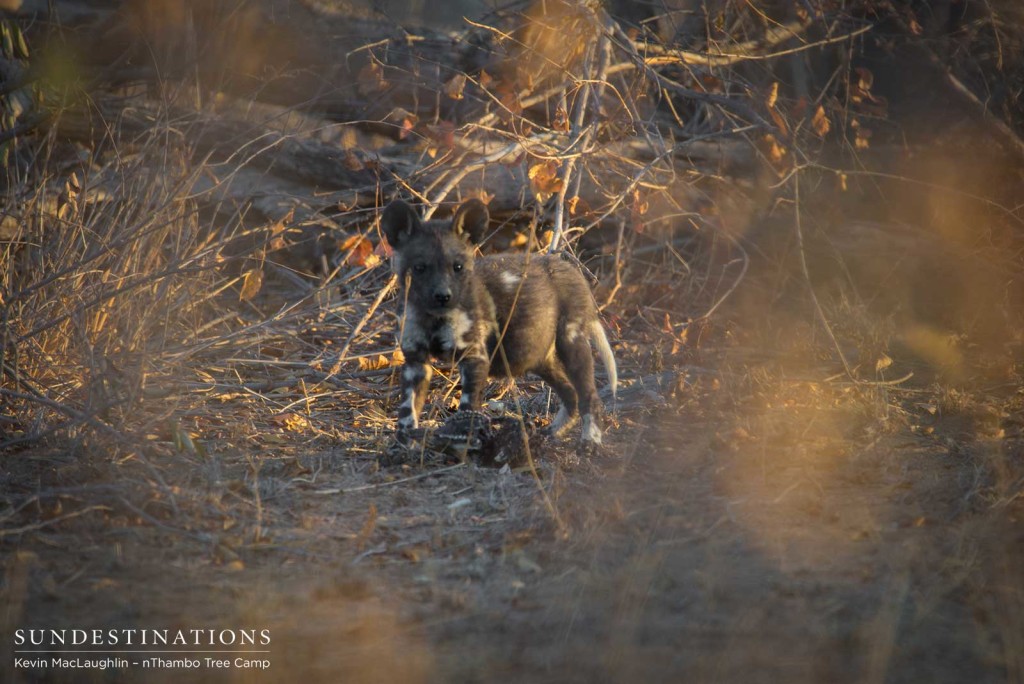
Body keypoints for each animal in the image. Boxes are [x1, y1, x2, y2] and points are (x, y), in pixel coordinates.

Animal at [382, 198, 614, 448]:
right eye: (420, 268)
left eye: (458, 267)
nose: (443, 296)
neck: (434, 318)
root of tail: (570, 269)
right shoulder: (415, 362)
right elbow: (407, 412)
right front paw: (405, 448)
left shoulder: (474, 358)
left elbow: (467, 410)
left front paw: (462, 446)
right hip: (541, 359)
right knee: (570, 394)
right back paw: (551, 434)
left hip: (571, 341)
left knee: (590, 397)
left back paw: (590, 441)